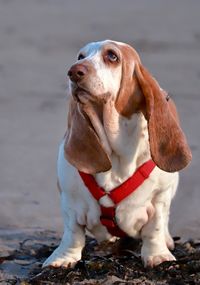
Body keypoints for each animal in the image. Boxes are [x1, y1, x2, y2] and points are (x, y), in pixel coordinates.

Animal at [43, 40, 191, 268]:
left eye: (112, 56)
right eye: (80, 56)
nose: (74, 72)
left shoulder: (160, 197)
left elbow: (155, 227)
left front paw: (158, 256)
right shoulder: (70, 201)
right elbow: (72, 233)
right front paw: (62, 258)